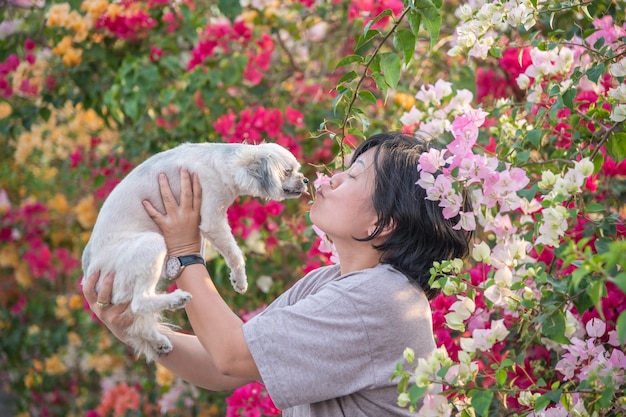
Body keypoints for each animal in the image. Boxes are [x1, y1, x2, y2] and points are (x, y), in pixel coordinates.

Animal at [83, 141, 308, 360]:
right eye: (287, 172)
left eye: (296, 170)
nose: (305, 180)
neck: (227, 163)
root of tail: (88, 275)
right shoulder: (213, 222)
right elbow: (235, 255)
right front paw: (240, 279)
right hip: (150, 244)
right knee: (139, 302)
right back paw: (175, 300)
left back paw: (158, 341)